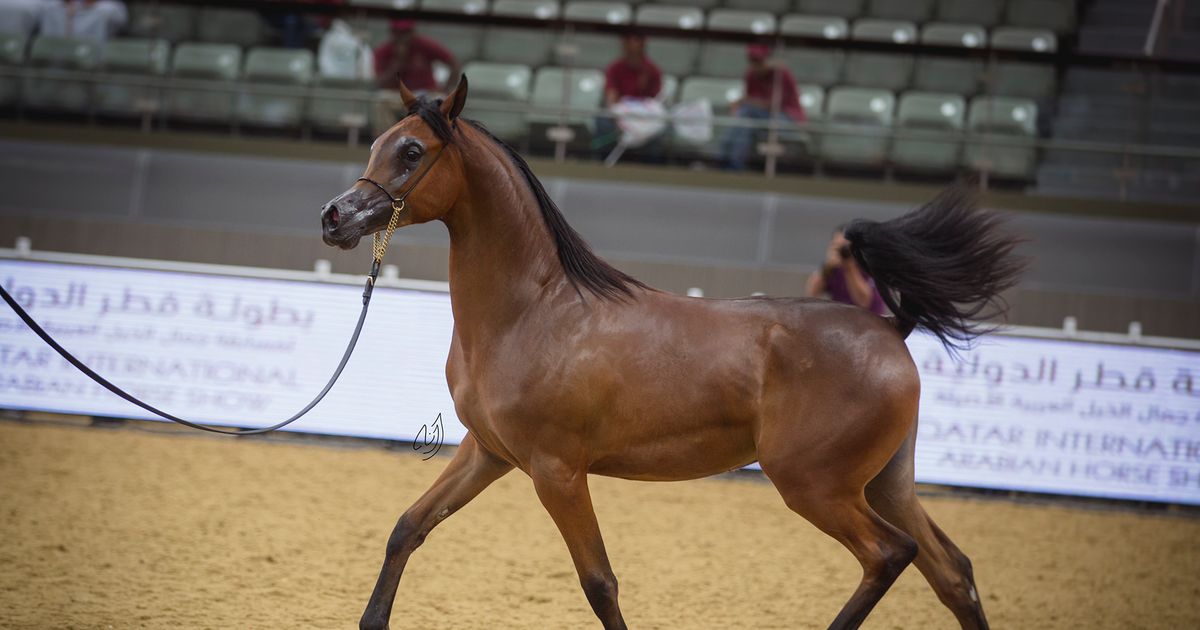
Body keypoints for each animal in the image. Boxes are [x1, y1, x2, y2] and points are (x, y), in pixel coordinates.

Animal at [319, 77, 1023, 630]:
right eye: (378, 144)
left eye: (413, 150)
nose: (334, 217)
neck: (533, 311)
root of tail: (891, 330)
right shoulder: (488, 453)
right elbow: (407, 528)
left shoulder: (556, 472)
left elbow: (599, 583)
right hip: (886, 483)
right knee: (952, 572)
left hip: (816, 486)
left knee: (889, 556)